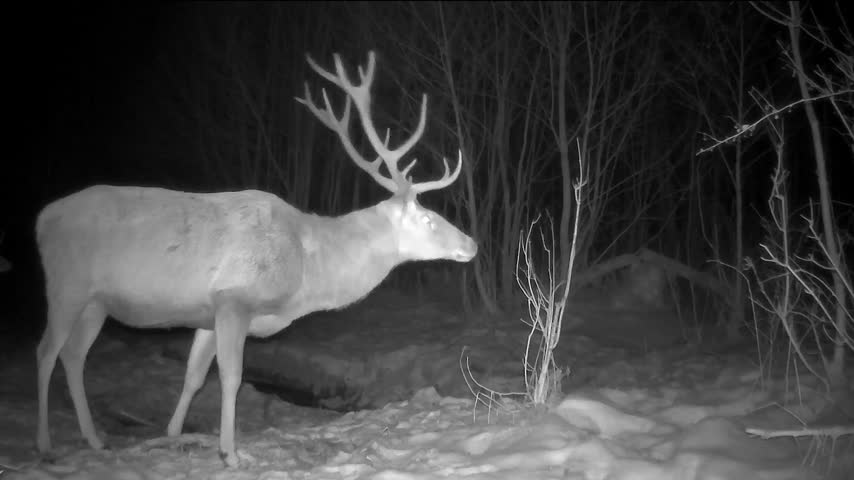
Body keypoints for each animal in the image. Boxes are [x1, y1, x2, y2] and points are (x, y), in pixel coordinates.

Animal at [35, 51, 477, 468]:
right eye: (428, 219)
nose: (471, 244)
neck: (305, 272)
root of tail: (41, 220)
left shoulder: (207, 313)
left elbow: (194, 376)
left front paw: (174, 433)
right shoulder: (234, 297)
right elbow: (231, 377)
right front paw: (229, 453)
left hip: (97, 302)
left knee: (74, 356)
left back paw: (94, 439)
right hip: (66, 285)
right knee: (46, 352)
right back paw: (46, 447)